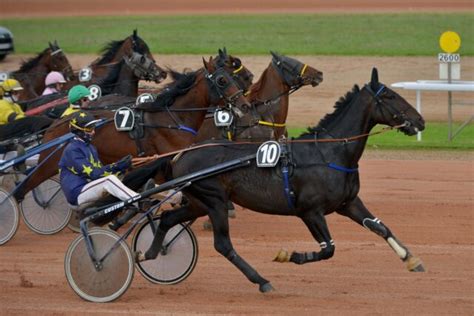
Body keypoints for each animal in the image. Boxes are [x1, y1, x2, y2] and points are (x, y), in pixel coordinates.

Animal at [136, 68, 426, 292]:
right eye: (390, 96)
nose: (420, 121)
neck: (328, 152)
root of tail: (181, 154)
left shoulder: (348, 203)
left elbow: (380, 227)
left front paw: (411, 259)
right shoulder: (310, 211)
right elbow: (327, 249)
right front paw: (290, 255)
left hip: (199, 201)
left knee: (168, 218)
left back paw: (150, 253)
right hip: (214, 200)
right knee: (223, 244)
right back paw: (261, 280)